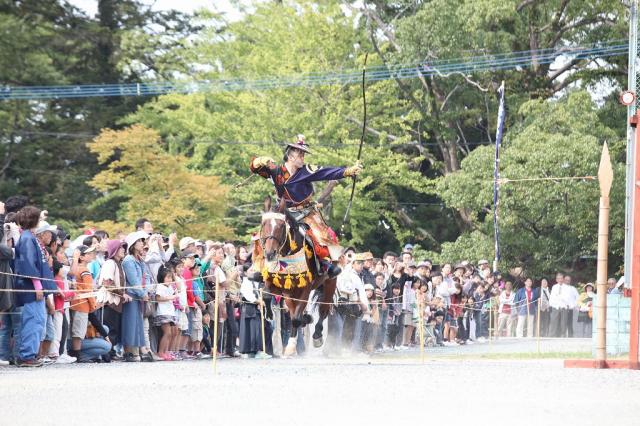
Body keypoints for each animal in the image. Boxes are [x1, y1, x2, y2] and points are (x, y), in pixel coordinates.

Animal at [258, 203, 338, 356]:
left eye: (281, 226)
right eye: (263, 224)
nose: (270, 253)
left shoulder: (305, 289)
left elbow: (295, 318)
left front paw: (290, 347)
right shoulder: (283, 287)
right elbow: (266, 294)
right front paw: (269, 314)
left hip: (330, 282)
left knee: (323, 310)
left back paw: (317, 335)